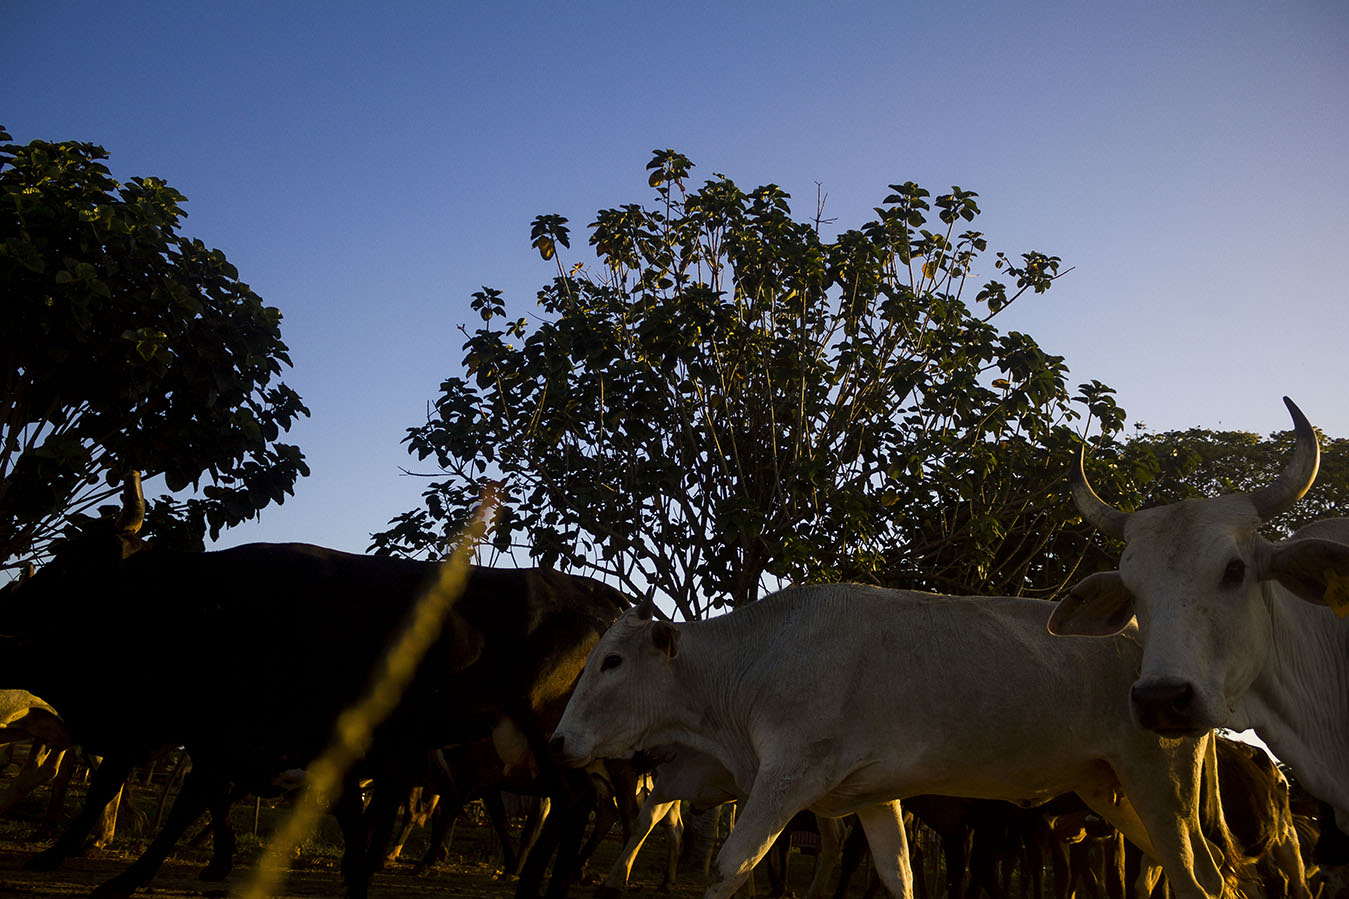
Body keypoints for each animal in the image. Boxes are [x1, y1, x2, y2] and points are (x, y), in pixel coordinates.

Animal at [547, 588, 1235, 896]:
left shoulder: (788, 778)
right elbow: (898, 874)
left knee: (1197, 880)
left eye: (611, 661)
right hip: (1110, 788)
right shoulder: (873, 797)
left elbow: (730, 865)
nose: (557, 741)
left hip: (1161, 781)